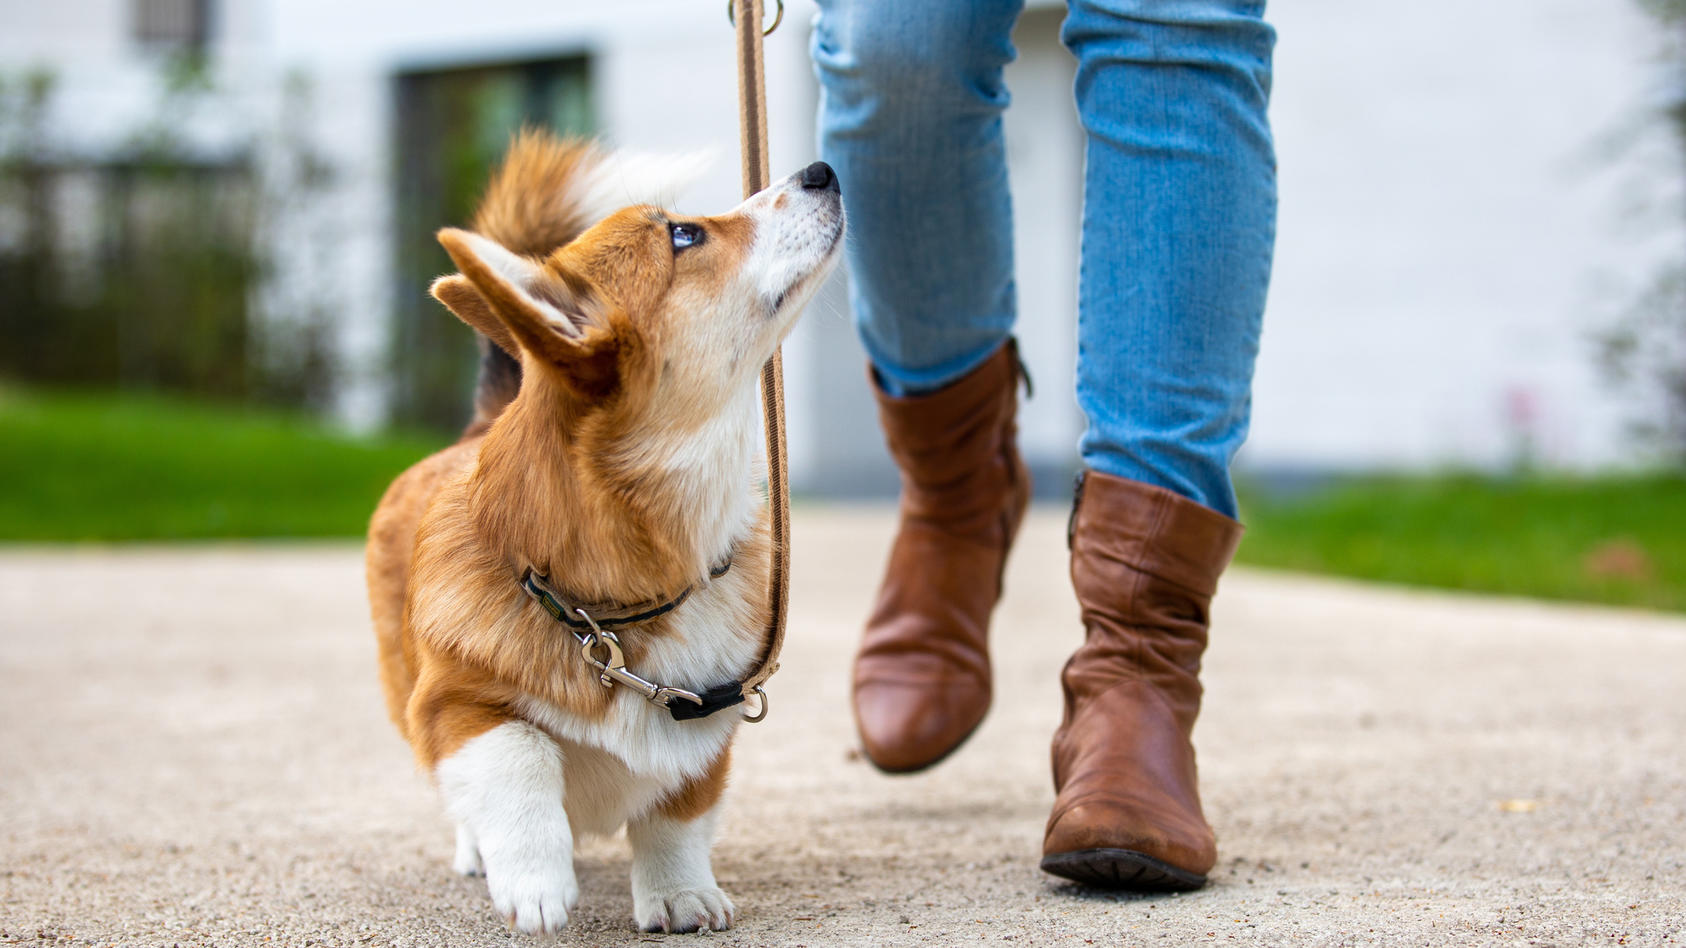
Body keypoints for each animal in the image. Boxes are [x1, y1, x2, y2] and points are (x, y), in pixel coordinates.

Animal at [369, 129, 843, 931]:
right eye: (684, 235)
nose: (822, 170)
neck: (615, 611)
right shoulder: (453, 705)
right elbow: (519, 753)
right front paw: (534, 880)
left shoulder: (706, 721)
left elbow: (675, 814)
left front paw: (681, 895)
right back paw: (477, 852)